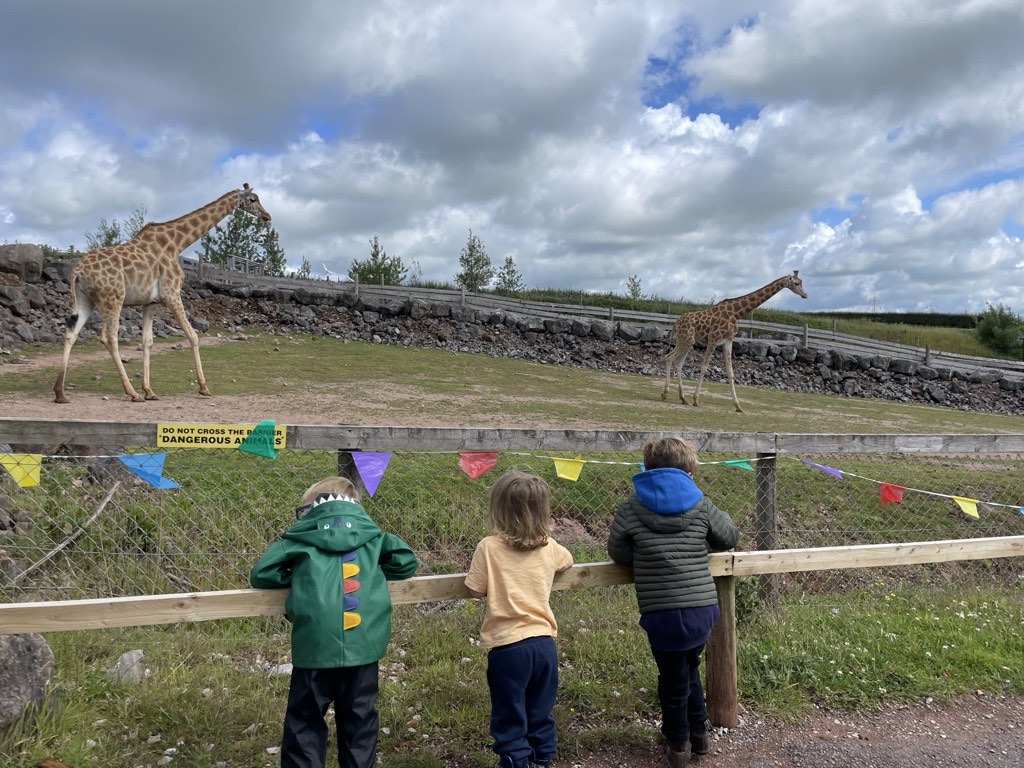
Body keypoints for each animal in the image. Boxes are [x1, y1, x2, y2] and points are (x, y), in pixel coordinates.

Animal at [53, 185, 270, 405]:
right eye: (253, 199)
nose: (267, 216)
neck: (177, 243)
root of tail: (77, 271)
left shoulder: (151, 302)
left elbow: (147, 341)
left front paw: (149, 390)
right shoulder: (172, 293)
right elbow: (193, 335)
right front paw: (204, 387)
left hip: (86, 299)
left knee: (71, 331)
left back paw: (60, 393)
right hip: (112, 298)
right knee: (109, 337)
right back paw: (132, 393)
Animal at [663, 272, 806, 415]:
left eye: (801, 282)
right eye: (797, 283)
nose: (805, 295)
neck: (736, 313)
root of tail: (676, 323)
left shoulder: (728, 341)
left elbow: (730, 372)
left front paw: (738, 406)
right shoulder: (713, 339)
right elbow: (704, 367)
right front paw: (696, 400)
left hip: (687, 341)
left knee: (678, 362)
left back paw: (682, 398)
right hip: (685, 339)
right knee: (669, 357)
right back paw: (665, 394)